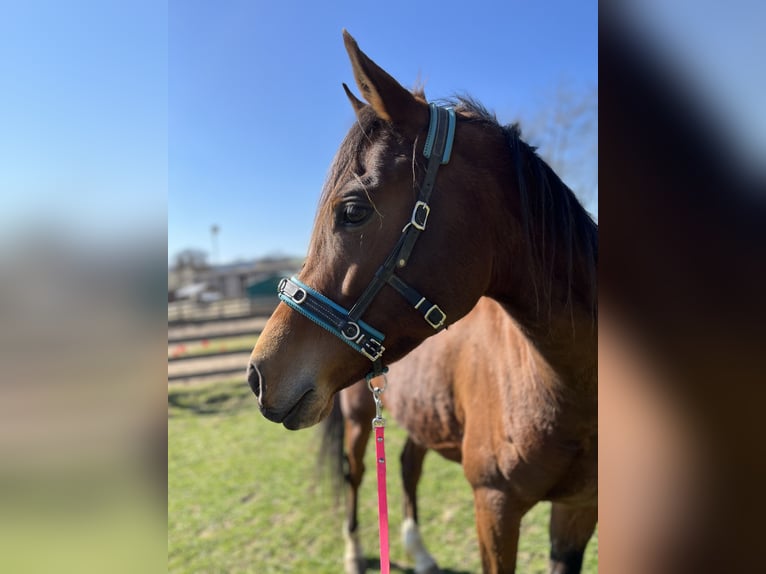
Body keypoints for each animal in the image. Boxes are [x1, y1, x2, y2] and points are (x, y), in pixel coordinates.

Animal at [249, 31, 598, 573]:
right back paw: (355, 551)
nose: (258, 374)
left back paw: (418, 551)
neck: (566, 385)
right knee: (355, 475)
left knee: (407, 466)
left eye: (353, 211)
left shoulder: (578, 510)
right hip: (357, 420)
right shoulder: (495, 506)